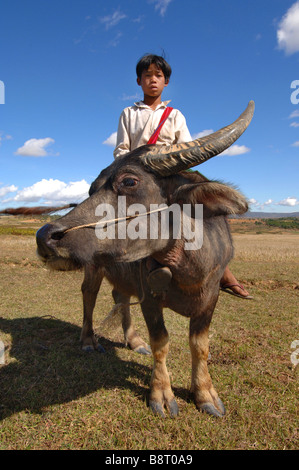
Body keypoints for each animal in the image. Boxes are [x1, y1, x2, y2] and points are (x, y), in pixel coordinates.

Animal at [35, 101, 255, 416]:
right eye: (91, 190)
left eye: (129, 181)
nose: (45, 236)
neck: (186, 269)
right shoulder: (150, 295)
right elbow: (161, 342)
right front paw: (161, 394)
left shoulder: (210, 298)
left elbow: (200, 345)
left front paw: (205, 394)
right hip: (94, 268)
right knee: (89, 295)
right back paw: (89, 340)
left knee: (120, 297)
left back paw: (133, 340)